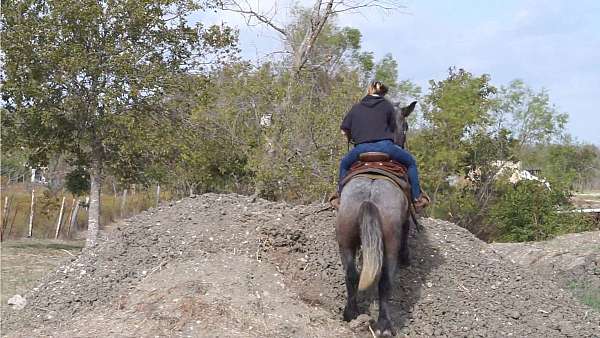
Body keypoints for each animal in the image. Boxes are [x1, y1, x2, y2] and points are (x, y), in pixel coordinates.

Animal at [338, 99, 418, 336]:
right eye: (406, 126)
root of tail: (369, 196)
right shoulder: (405, 220)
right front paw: (407, 257)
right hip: (389, 243)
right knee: (385, 282)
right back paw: (384, 325)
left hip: (345, 239)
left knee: (352, 274)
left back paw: (351, 313)